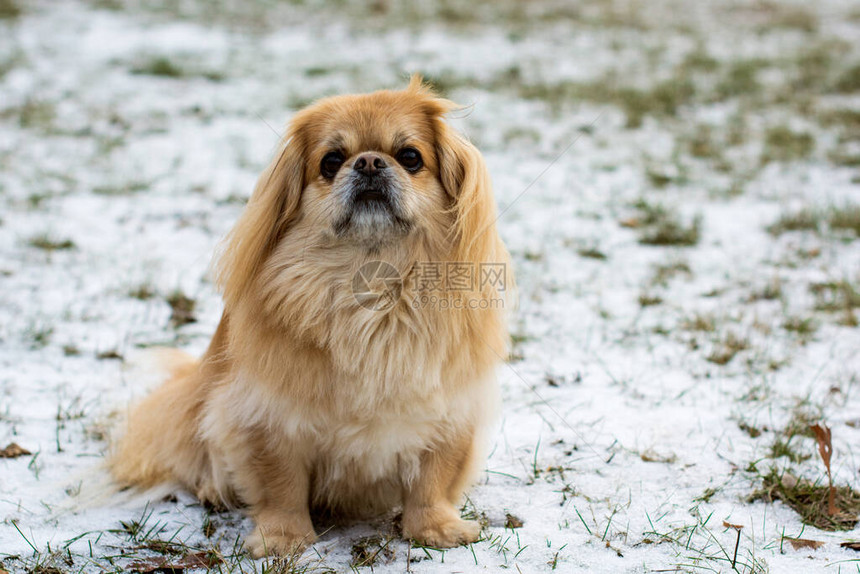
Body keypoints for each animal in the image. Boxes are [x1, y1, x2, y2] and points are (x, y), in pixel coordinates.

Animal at [107, 75, 510, 560]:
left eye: (411, 157)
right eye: (331, 161)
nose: (369, 162)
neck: (373, 285)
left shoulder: (452, 410)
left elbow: (433, 478)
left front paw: (435, 529)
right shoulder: (269, 416)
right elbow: (282, 484)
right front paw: (284, 538)